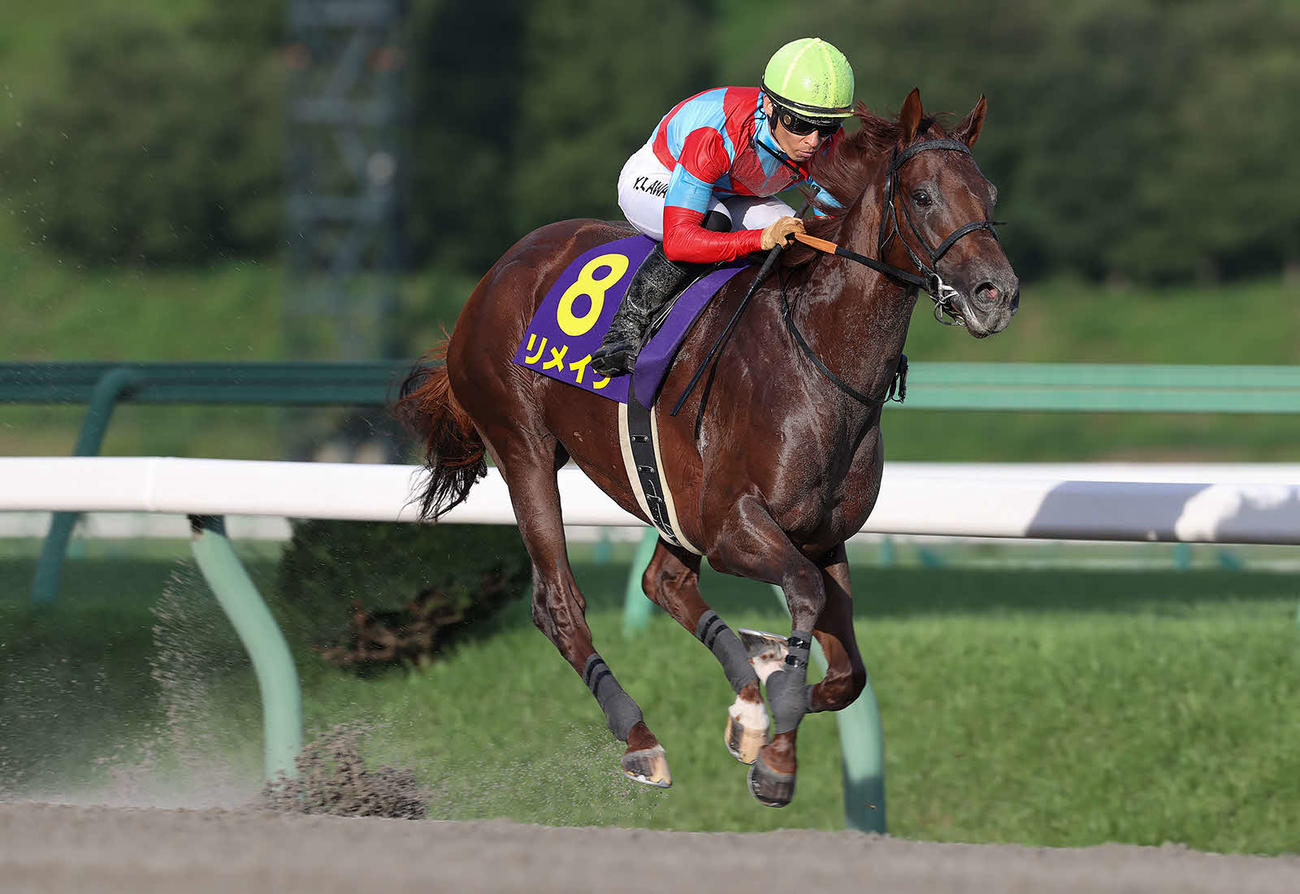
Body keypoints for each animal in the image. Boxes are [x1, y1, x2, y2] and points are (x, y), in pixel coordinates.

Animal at [395, 89, 1018, 807]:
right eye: (921, 195)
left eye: (988, 192)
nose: (996, 294)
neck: (818, 356)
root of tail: (495, 274)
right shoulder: (734, 527)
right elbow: (805, 595)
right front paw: (777, 751)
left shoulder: (820, 532)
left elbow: (847, 675)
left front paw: (770, 694)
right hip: (524, 450)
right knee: (559, 606)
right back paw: (642, 740)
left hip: (667, 495)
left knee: (662, 582)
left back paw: (747, 693)